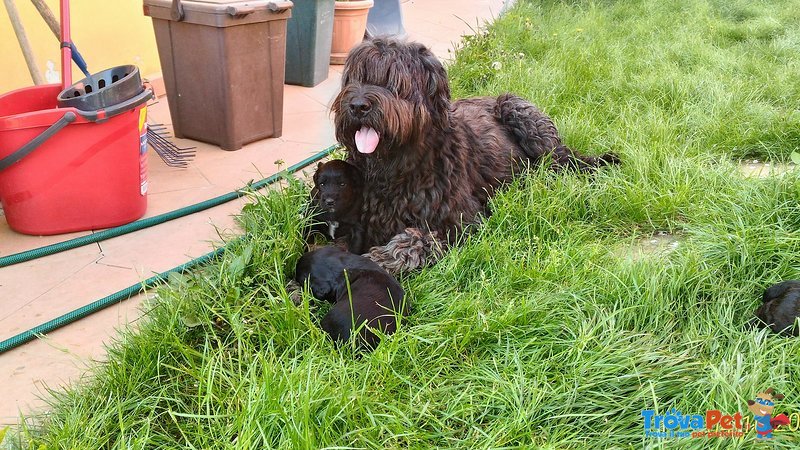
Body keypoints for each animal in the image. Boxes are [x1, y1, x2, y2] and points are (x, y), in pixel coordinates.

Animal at [332, 37, 620, 272]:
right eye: (355, 78)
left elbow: (416, 240)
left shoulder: (465, 225)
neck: (398, 168)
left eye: (394, 81)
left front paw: (378, 260)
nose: (357, 106)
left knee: (561, 161)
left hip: (522, 115)